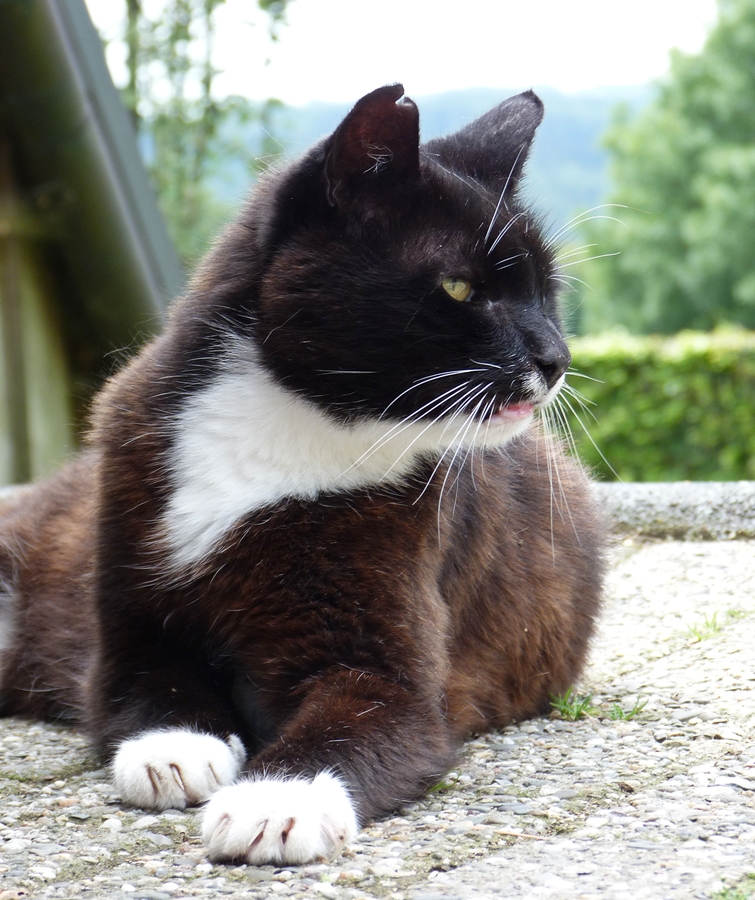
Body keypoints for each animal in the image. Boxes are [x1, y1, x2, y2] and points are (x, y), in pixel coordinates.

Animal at [0, 88, 604, 868]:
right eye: (458, 286)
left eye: (546, 291)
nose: (556, 357)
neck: (288, 422)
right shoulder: (129, 589)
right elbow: (145, 678)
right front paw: (176, 749)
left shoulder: (394, 670)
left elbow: (359, 716)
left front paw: (274, 799)